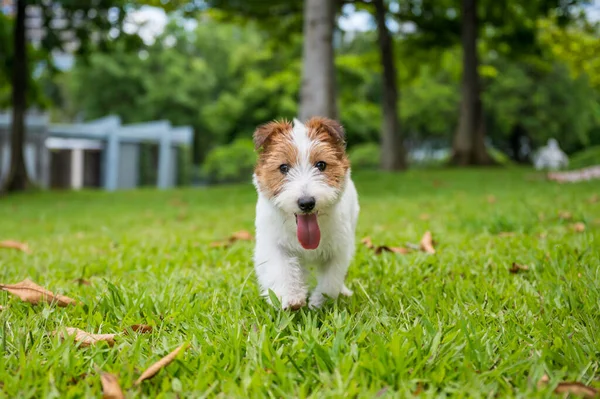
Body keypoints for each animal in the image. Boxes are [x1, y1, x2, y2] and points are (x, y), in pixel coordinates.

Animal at [251, 115, 358, 310]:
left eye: (321, 165)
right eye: (284, 168)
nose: (306, 203)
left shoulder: (338, 249)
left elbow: (331, 280)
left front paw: (318, 302)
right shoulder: (274, 245)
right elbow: (281, 269)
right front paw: (290, 297)